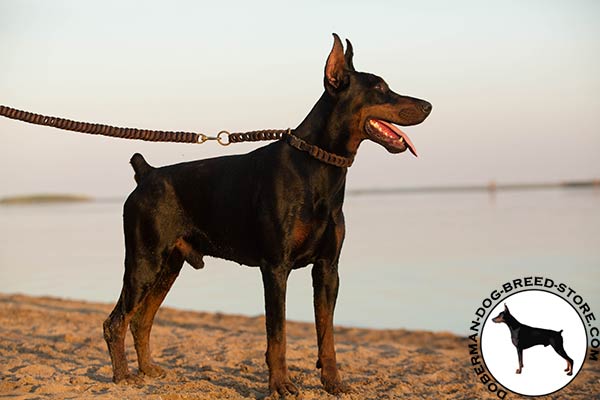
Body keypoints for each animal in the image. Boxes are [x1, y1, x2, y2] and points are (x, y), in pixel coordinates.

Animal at [102, 34, 432, 396]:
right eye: (380, 88)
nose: (428, 106)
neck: (317, 166)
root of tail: (146, 173)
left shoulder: (328, 268)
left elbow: (327, 334)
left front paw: (333, 382)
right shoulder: (275, 268)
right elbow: (278, 335)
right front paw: (281, 385)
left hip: (169, 265)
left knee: (141, 320)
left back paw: (148, 369)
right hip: (144, 262)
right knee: (116, 321)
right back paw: (123, 376)